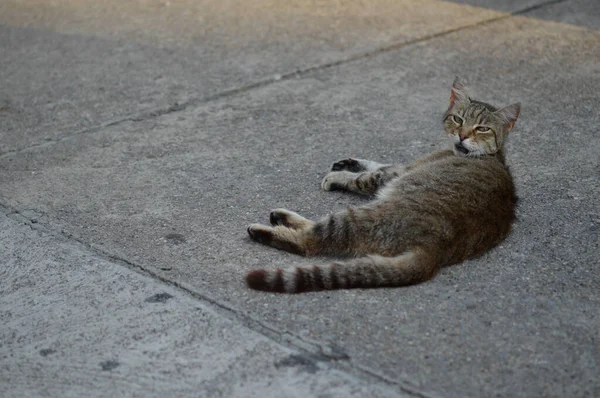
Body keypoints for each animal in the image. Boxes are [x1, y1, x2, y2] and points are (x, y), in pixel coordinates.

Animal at [245, 79, 520, 294]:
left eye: (482, 128)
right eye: (458, 119)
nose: (462, 136)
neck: (492, 156)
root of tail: (437, 249)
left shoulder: (395, 174)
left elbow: (367, 176)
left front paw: (339, 176)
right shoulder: (402, 167)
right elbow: (377, 163)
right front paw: (349, 162)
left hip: (359, 216)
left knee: (311, 242)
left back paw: (267, 228)